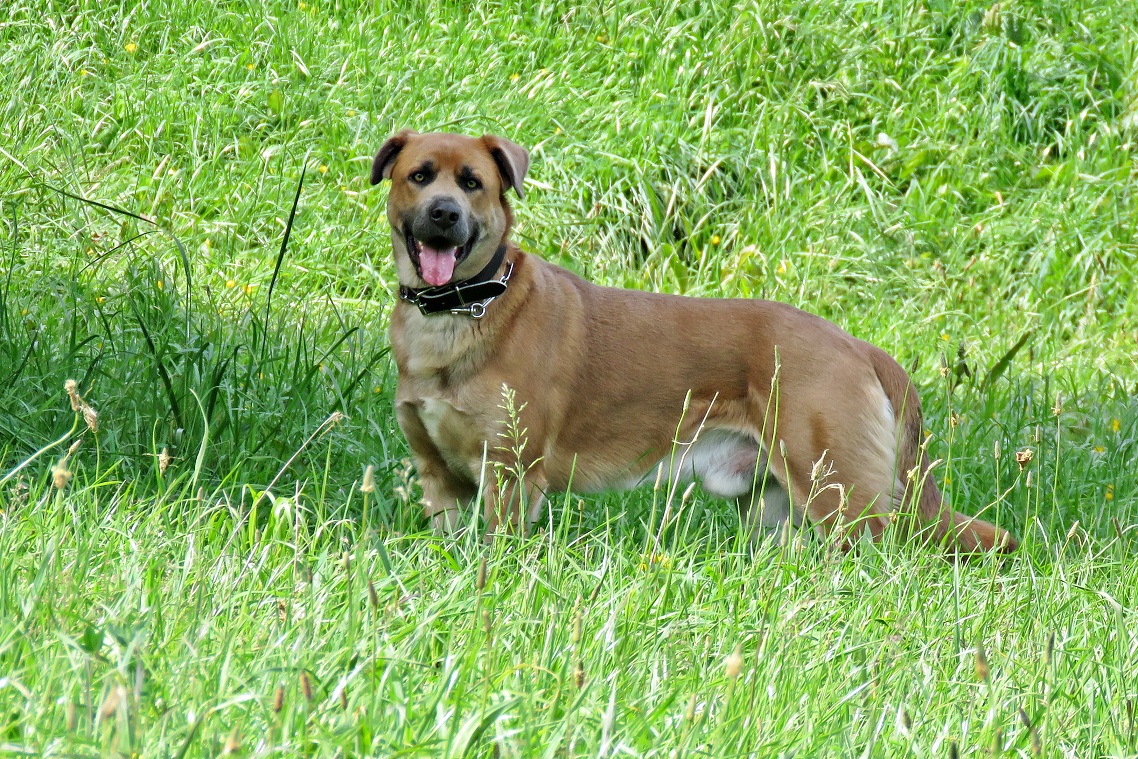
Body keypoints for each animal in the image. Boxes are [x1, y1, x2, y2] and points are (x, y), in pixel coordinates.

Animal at [370, 129, 1018, 554]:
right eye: (420, 176)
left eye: (473, 183)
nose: (445, 215)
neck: (462, 310)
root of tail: (860, 346)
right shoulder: (439, 479)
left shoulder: (510, 477)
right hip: (774, 507)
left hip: (841, 498)